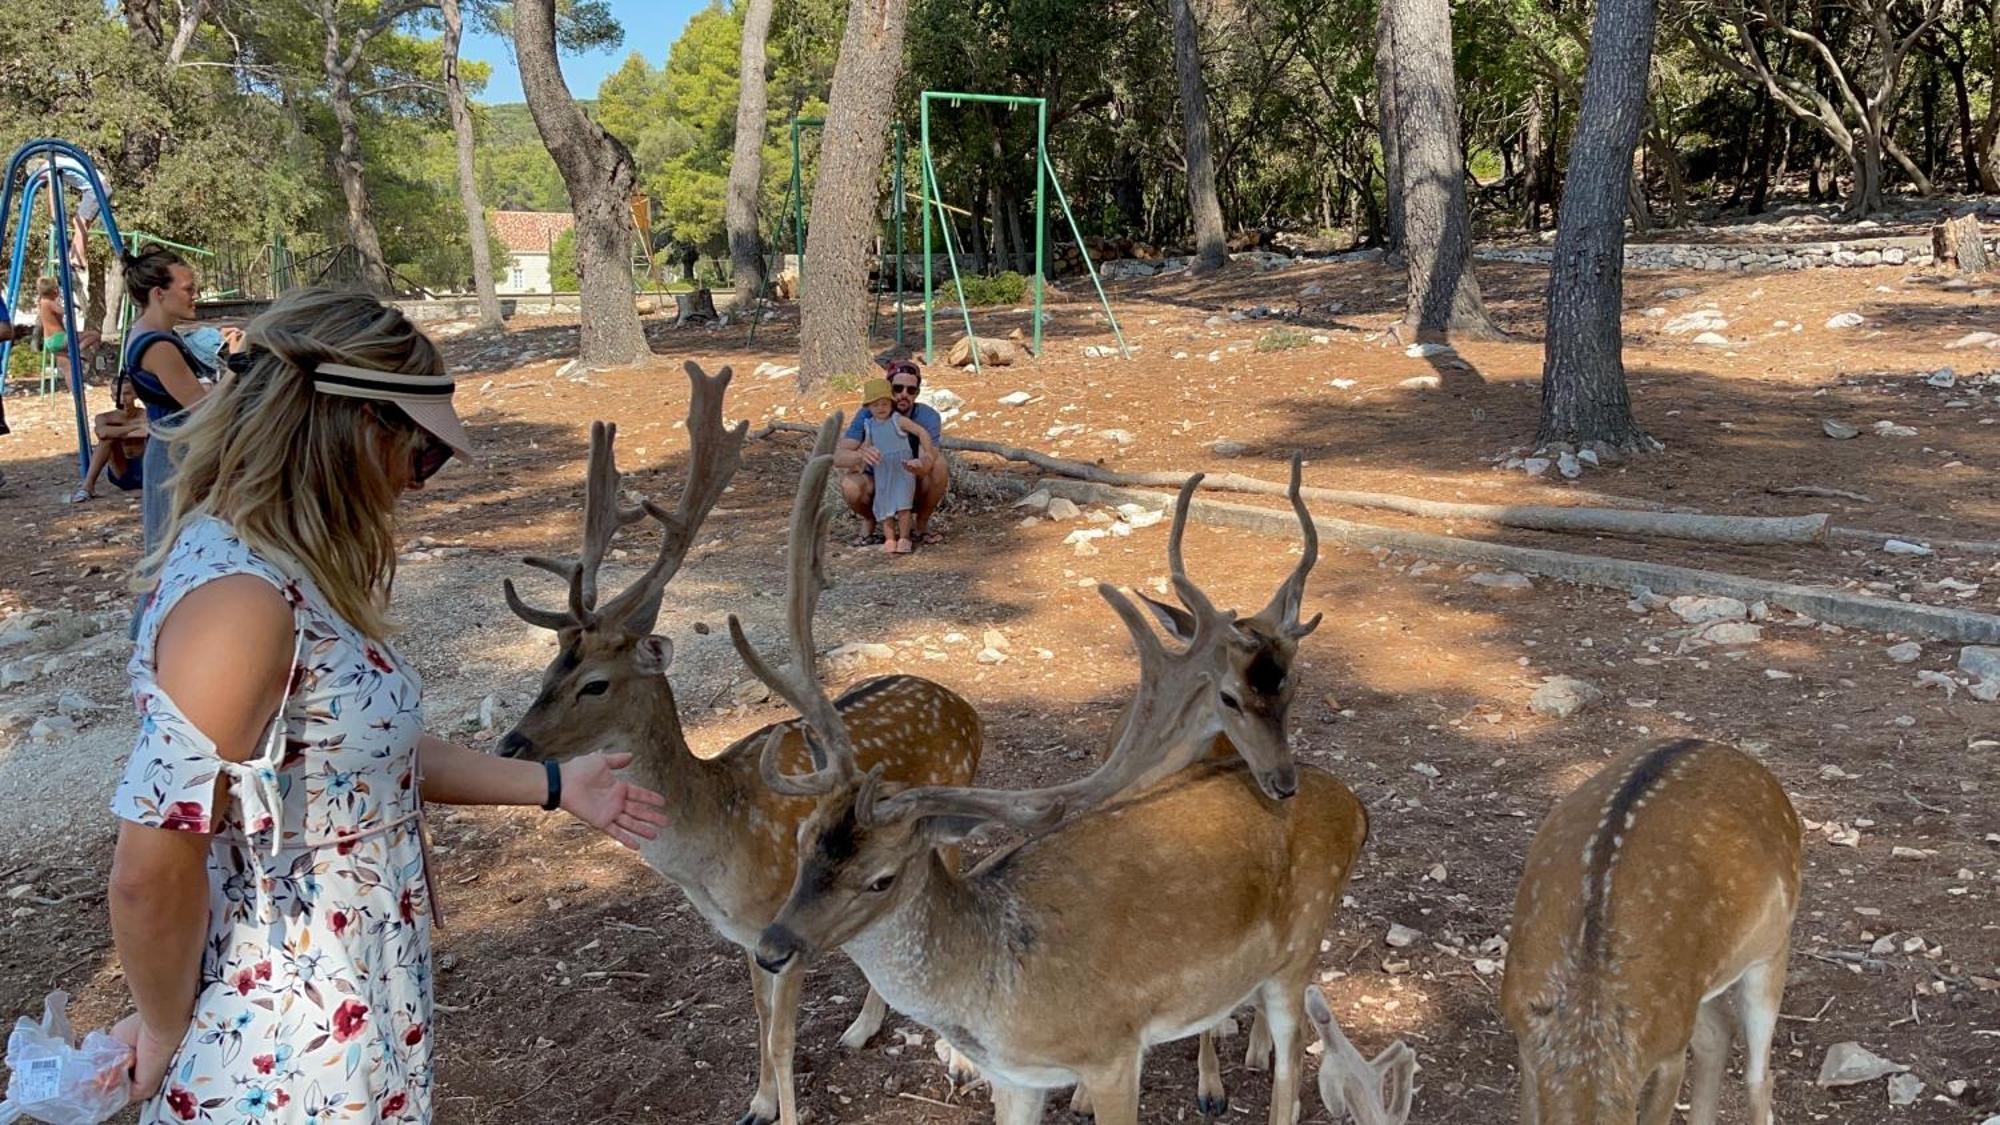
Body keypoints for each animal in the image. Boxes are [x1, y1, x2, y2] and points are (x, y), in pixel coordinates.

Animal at [496, 360, 988, 1120]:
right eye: (551, 666)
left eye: (596, 683)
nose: (511, 745)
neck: (713, 850)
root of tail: (965, 708)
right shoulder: (746, 938)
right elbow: (756, 1019)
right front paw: (755, 1102)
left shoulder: (773, 927)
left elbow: (782, 1037)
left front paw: (785, 1110)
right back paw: (861, 1028)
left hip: (950, 819)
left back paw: (957, 1057)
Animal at [736, 438, 1376, 1120]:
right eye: (803, 840)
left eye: (881, 877)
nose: (771, 949)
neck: (999, 1001)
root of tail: (1355, 808)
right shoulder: (1015, 1076)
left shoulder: (1114, 1050)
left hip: (1302, 943)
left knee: (1292, 1068)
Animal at [1504, 736, 1816, 1120]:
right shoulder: (1524, 1033)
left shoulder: (1669, 1050)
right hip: (1698, 990)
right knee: (1718, 1034)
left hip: (1772, 951)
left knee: (1758, 1076)